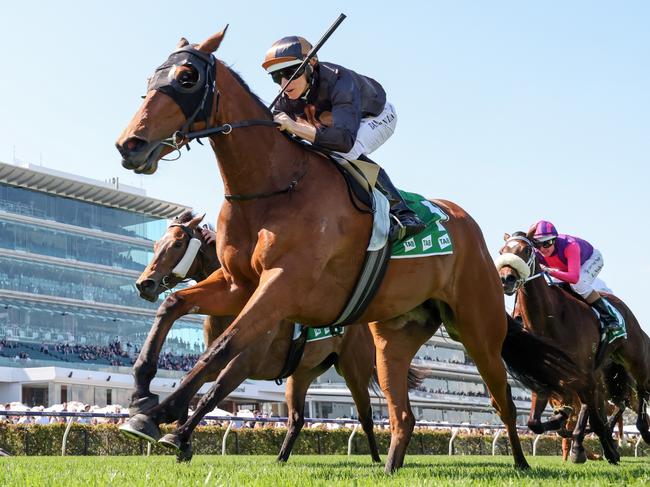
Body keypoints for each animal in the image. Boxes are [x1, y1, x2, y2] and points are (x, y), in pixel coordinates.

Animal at [134, 210, 388, 462]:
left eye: (177, 244)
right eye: (156, 244)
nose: (144, 283)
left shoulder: (243, 363)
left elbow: (211, 396)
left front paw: (178, 437)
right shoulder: (219, 361)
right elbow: (193, 381)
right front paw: (176, 436)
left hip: (353, 371)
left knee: (365, 415)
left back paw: (377, 460)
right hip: (302, 374)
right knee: (297, 419)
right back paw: (280, 459)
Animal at [494, 233, 644, 466]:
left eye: (526, 250)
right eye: (502, 251)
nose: (506, 279)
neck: (551, 318)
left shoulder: (587, 375)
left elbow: (593, 417)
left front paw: (603, 451)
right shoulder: (544, 375)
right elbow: (535, 423)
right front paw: (561, 418)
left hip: (632, 358)